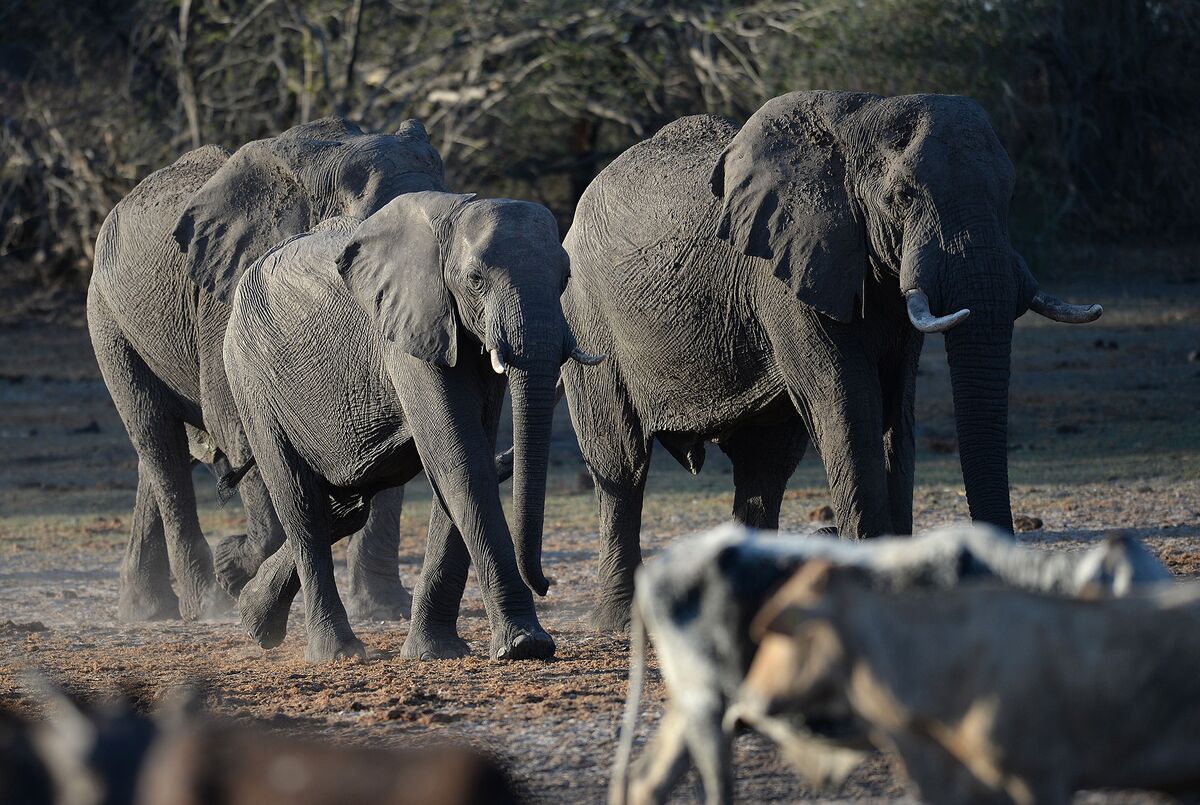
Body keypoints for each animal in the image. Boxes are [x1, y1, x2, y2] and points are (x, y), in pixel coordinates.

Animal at [87, 118, 446, 623]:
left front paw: (384, 610)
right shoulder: (228, 298)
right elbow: (238, 426)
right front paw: (234, 571)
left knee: (159, 450)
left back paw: (147, 609)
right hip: (107, 316)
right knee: (156, 435)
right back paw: (208, 604)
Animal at [219, 191, 600, 662]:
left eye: (565, 278)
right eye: (475, 280)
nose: (545, 584)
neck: (453, 218)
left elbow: (462, 459)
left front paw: (436, 652)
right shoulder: (412, 332)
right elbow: (461, 460)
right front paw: (526, 645)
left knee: (347, 505)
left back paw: (253, 619)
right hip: (252, 381)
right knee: (301, 503)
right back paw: (337, 652)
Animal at [556, 91, 1099, 633]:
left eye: (1009, 196)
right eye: (904, 196)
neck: (861, 122)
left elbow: (895, 413)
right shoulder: (787, 274)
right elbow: (850, 406)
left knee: (764, 466)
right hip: (587, 319)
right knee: (622, 464)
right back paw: (619, 621)